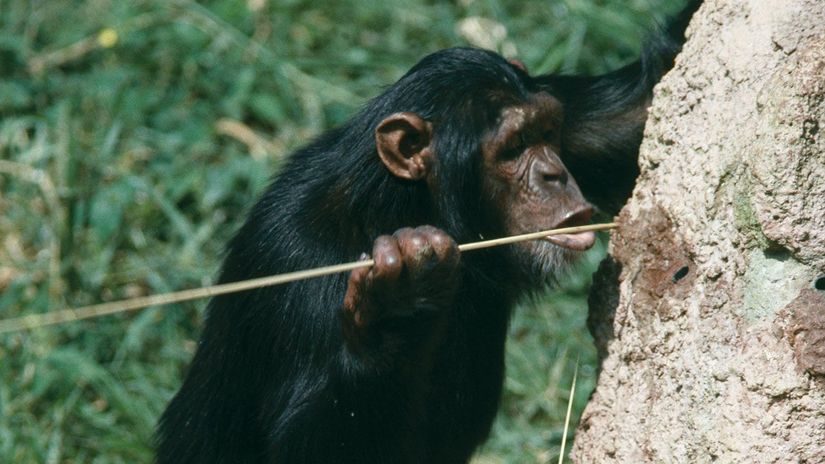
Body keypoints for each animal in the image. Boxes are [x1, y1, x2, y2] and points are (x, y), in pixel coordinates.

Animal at [156, 1, 700, 462]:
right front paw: (397, 309)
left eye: (547, 132)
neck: (400, 203)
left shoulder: (568, 105)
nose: (554, 174)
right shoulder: (299, 260)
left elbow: (639, 106)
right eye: (513, 147)